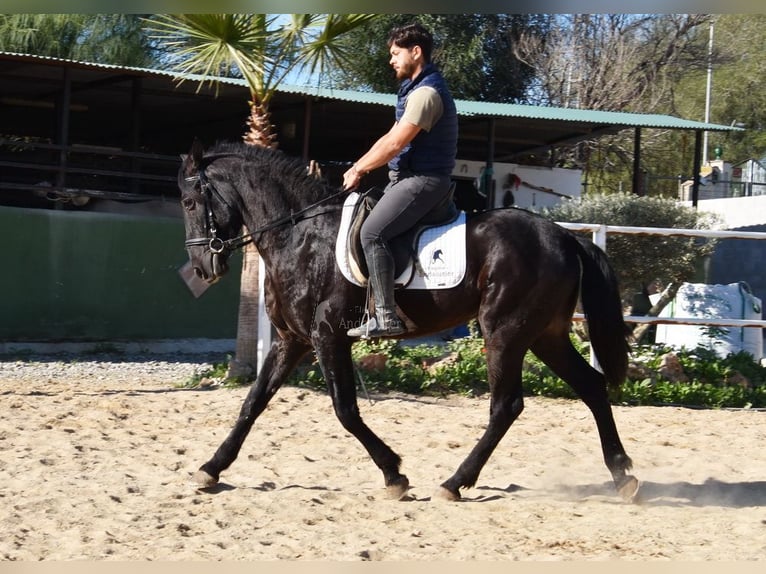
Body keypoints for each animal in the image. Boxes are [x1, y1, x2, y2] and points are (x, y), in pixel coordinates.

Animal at [177, 140, 640, 504]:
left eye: (188, 202)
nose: (202, 268)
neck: (299, 236)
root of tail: (565, 237)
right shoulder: (291, 340)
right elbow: (253, 403)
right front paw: (211, 468)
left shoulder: (327, 338)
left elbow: (345, 410)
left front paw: (394, 474)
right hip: (546, 335)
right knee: (591, 387)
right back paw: (623, 475)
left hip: (505, 332)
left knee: (506, 406)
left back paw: (455, 482)